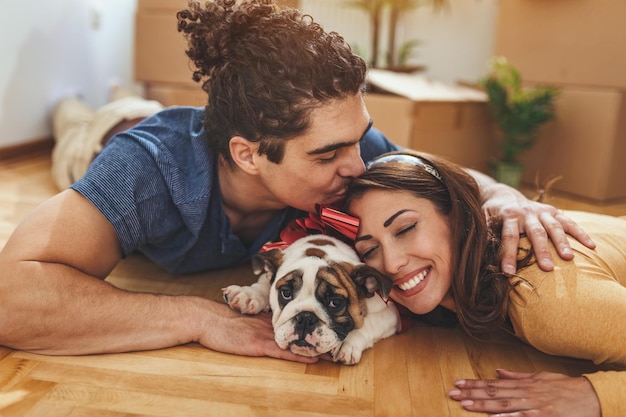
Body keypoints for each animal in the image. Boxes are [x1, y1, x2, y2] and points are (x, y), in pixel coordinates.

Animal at [224, 234, 400, 364]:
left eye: (335, 302)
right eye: (286, 293)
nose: (305, 318)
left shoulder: (390, 314)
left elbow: (369, 323)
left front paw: (346, 342)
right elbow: (265, 282)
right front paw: (248, 294)